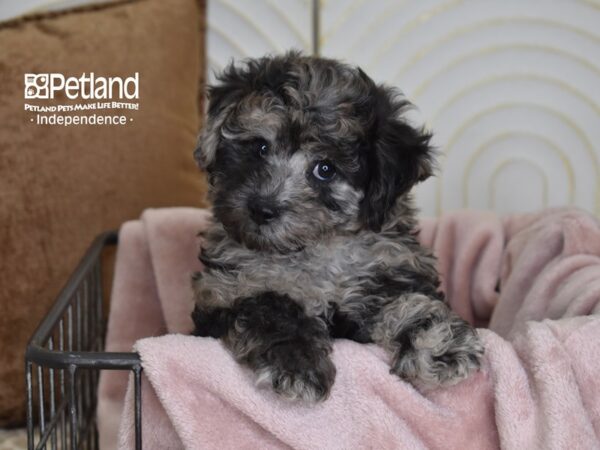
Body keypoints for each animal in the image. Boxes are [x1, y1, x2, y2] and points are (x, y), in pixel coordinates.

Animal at [192, 51, 482, 400]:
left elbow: (409, 300)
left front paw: (442, 347)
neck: (313, 247)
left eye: (325, 169)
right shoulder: (226, 288)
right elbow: (269, 305)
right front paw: (297, 363)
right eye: (260, 148)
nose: (262, 209)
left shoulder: (390, 267)